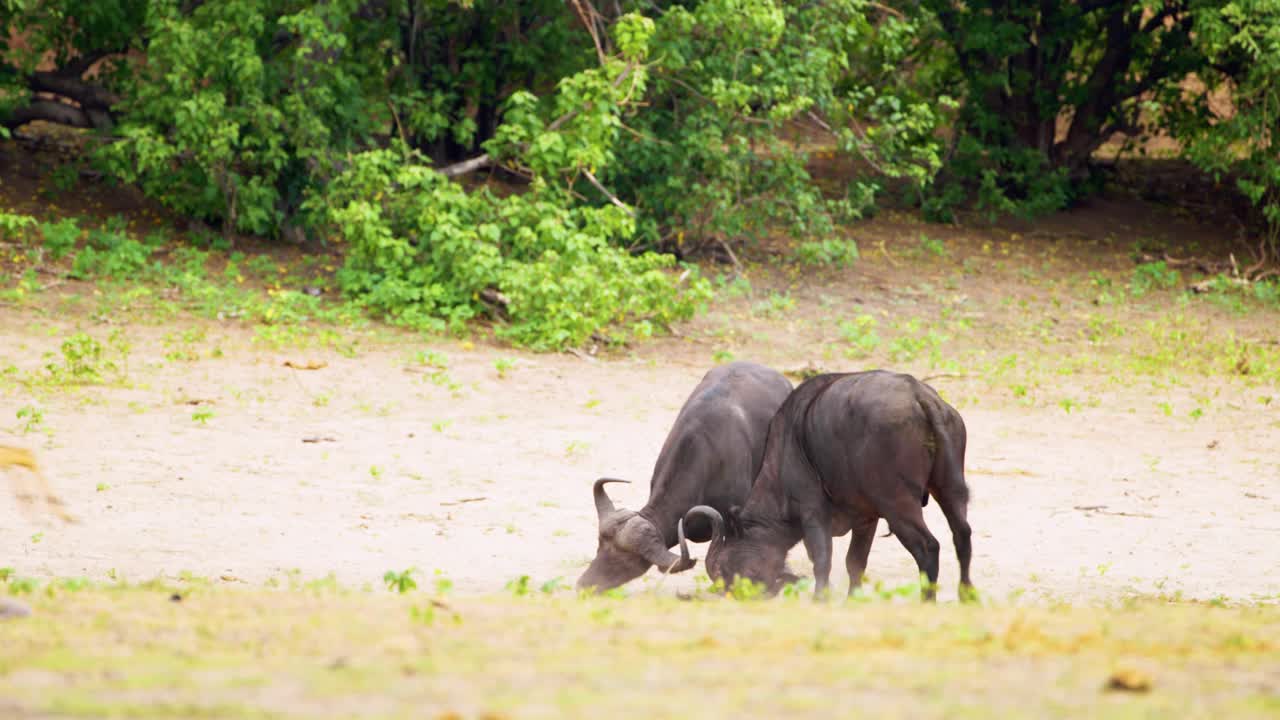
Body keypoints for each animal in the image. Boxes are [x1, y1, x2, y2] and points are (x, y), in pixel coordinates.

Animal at [680, 366, 967, 597]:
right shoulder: (866, 518)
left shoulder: (812, 512)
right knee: (961, 533)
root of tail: (920, 396)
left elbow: (822, 560)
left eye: (724, 569)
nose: (732, 594)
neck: (785, 453)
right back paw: (966, 594)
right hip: (950, 488)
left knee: (928, 547)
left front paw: (820, 599)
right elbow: (855, 563)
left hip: (897, 503)